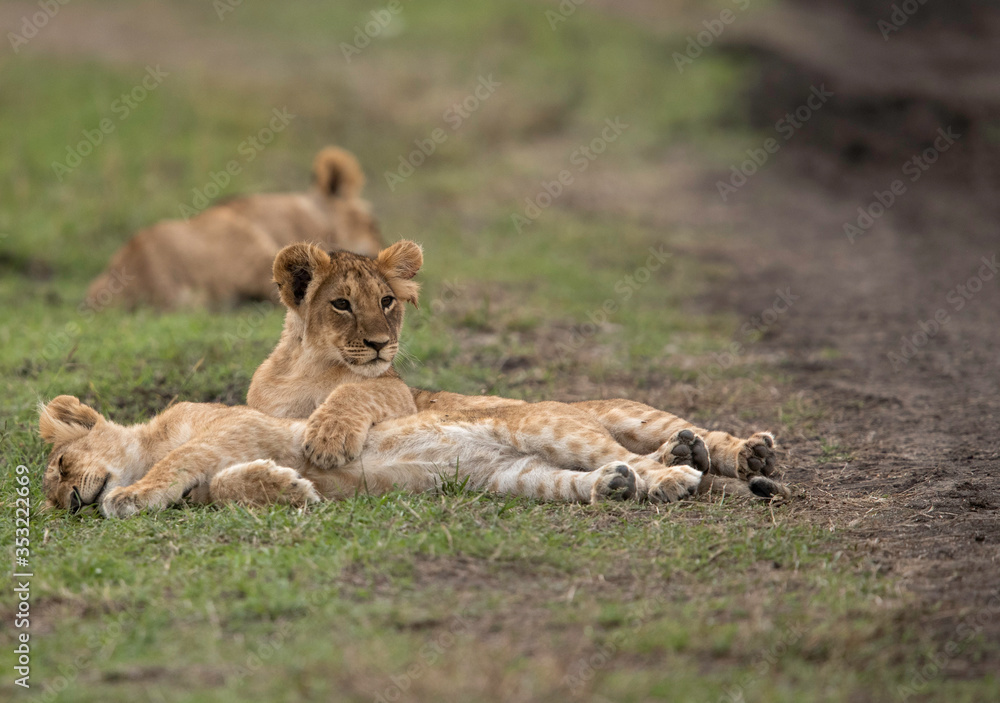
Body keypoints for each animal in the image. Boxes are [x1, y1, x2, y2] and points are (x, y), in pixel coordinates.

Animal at [246, 241, 789, 499]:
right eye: (341, 304)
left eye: (386, 301)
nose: (382, 344)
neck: (311, 368)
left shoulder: (396, 395)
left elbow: (356, 393)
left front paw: (327, 437)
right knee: (651, 454)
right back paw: (687, 455)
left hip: (627, 415)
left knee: (684, 435)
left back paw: (746, 453)